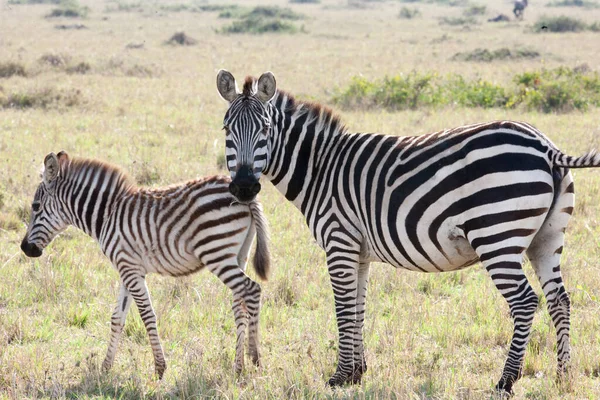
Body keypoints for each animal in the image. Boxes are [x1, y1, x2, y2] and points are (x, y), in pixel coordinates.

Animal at [20, 150, 270, 378]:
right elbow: (117, 318)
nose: (25, 248)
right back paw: (238, 367)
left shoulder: (129, 268)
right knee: (240, 303)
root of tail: (246, 197)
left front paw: (160, 368)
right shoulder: (128, 268)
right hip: (238, 254)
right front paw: (105, 368)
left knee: (252, 290)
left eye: (35, 206)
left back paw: (254, 358)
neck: (107, 215)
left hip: (215, 252)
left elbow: (147, 315)